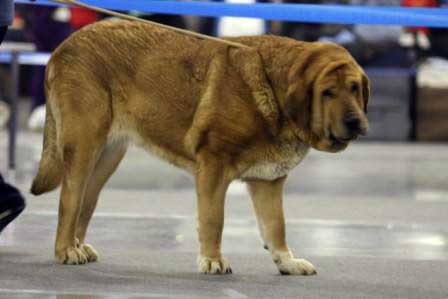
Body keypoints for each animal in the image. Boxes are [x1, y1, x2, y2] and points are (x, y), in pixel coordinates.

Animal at [29, 19, 370, 276]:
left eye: (354, 89)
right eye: (328, 92)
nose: (355, 121)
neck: (275, 89)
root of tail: (63, 46)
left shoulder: (268, 182)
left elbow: (276, 226)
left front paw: (287, 262)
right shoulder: (214, 166)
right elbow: (213, 219)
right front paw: (213, 260)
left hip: (107, 157)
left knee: (86, 202)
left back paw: (78, 246)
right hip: (85, 144)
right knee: (69, 200)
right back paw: (65, 251)